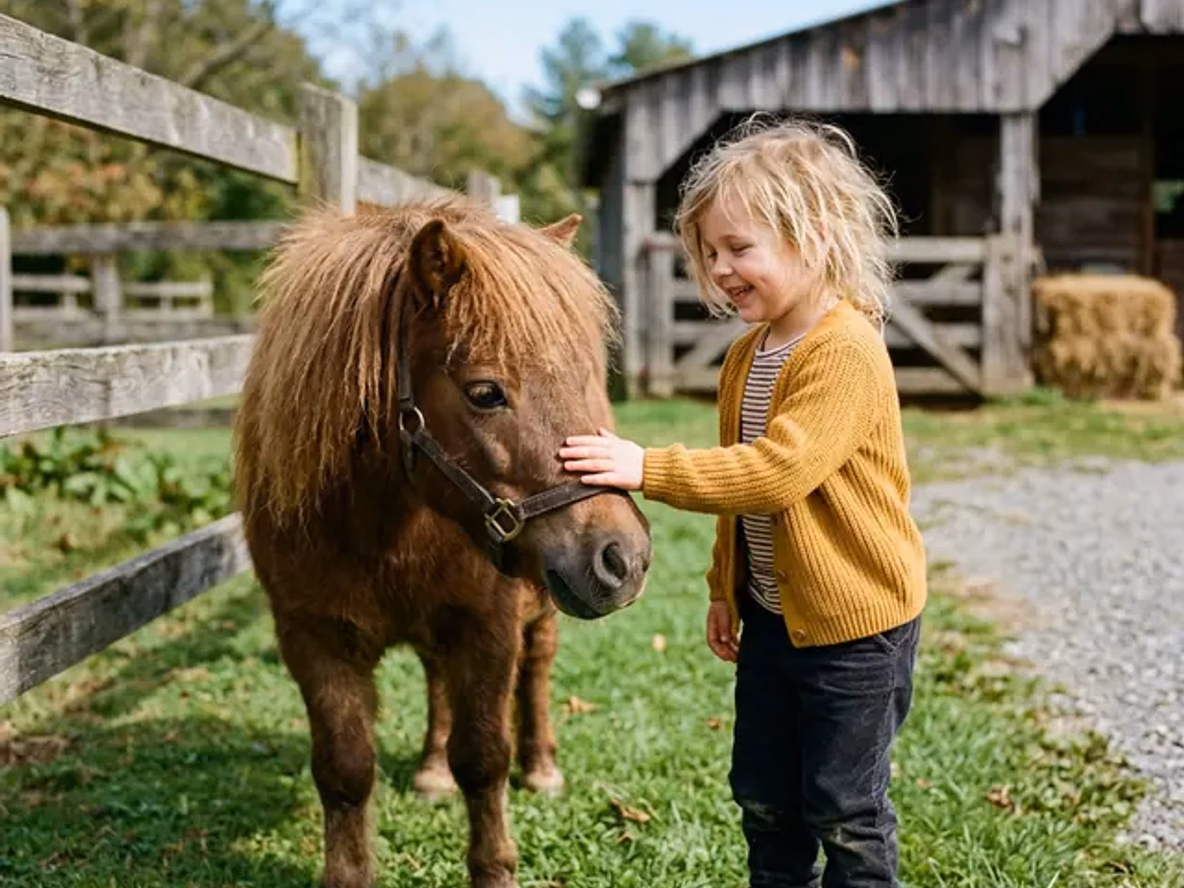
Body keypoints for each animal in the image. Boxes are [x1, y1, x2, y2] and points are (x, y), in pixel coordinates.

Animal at [231, 195, 653, 888]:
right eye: (484, 392)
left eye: (587, 379)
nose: (625, 558)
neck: (382, 528)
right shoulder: (311, 636)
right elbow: (345, 769)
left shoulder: (488, 628)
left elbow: (483, 759)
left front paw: (496, 864)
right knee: (434, 680)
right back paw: (429, 772)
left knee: (537, 672)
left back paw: (541, 767)